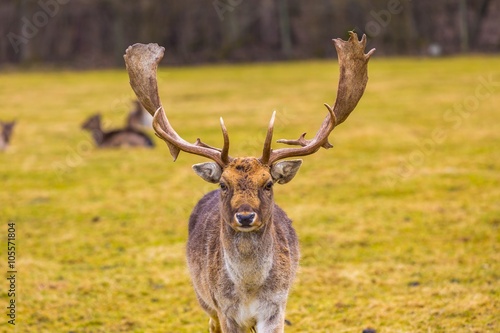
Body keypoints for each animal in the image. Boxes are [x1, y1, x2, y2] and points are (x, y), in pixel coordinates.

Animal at [124, 31, 376, 332]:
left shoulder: (276, 308)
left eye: (268, 183)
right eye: (223, 184)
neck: (249, 290)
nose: (245, 216)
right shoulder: (224, 310)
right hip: (203, 299)